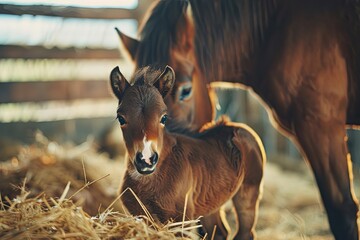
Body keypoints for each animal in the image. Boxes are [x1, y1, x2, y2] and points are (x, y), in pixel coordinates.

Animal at [109, 64, 264, 239]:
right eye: (121, 118)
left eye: (164, 117)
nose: (146, 160)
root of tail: (240, 128)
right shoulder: (140, 216)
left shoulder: (181, 221)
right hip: (210, 201)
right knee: (220, 231)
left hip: (248, 192)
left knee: (245, 231)